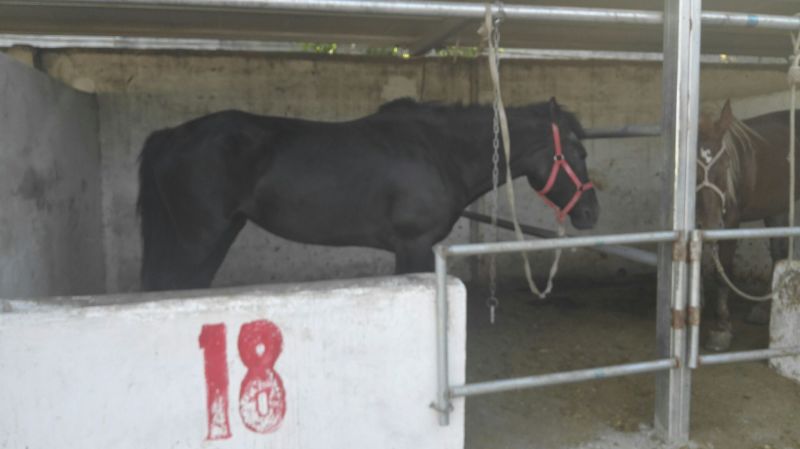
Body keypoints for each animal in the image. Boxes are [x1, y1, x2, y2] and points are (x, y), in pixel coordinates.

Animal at [137, 97, 599, 291]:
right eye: (578, 151)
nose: (591, 213)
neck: (438, 150)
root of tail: (172, 136)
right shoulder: (413, 246)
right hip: (199, 239)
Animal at [695, 99, 800, 351]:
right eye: (692, 170)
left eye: (726, 166)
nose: (712, 225)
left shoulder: (731, 223)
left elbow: (722, 273)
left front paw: (721, 329)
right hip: (777, 208)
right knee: (778, 253)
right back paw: (762, 309)